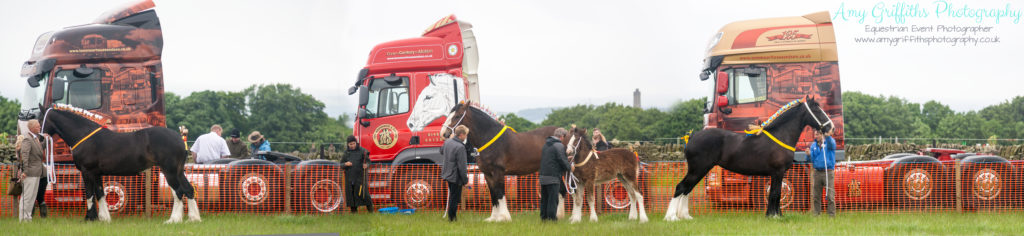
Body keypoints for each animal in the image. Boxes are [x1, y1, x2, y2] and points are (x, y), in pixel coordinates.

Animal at [38, 105, 197, 222]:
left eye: (40, 119)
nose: (39, 138)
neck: (84, 135)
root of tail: (179, 138)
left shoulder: (87, 171)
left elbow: (89, 194)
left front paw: (89, 218)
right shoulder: (96, 173)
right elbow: (100, 193)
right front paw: (103, 218)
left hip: (169, 171)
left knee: (179, 192)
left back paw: (173, 220)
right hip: (178, 171)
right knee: (188, 190)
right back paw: (193, 219)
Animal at [667, 96, 835, 220]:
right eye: (817, 109)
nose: (831, 128)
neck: (781, 135)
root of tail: (692, 137)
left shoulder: (778, 174)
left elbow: (776, 193)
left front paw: (776, 215)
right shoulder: (777, 172)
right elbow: (775, 193)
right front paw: (773, 216)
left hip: (699, 170)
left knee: (687, 189)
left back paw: (685, 216)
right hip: (698, 169)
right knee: (681, 187)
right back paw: (672, 217)